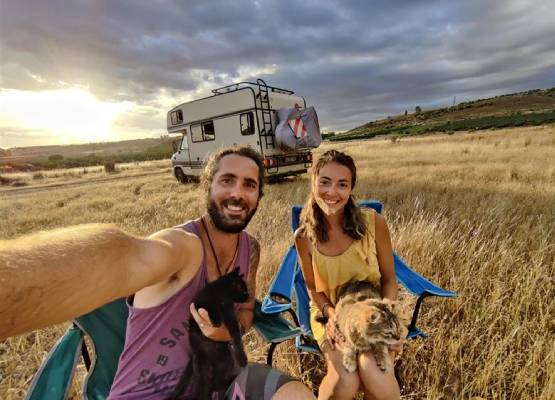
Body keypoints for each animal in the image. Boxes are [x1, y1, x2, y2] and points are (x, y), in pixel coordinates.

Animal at [167, 268, 250, 400]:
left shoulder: (231, 317)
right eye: (243, 290)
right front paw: (216, 321)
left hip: (224, 362)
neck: (222, 297)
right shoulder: (198, 304)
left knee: (215, 384)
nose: (248, 296)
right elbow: (210, 308)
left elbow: (237, 338)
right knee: (203, 388)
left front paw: (242, 359)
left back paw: (229, 380)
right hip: (202, 367)